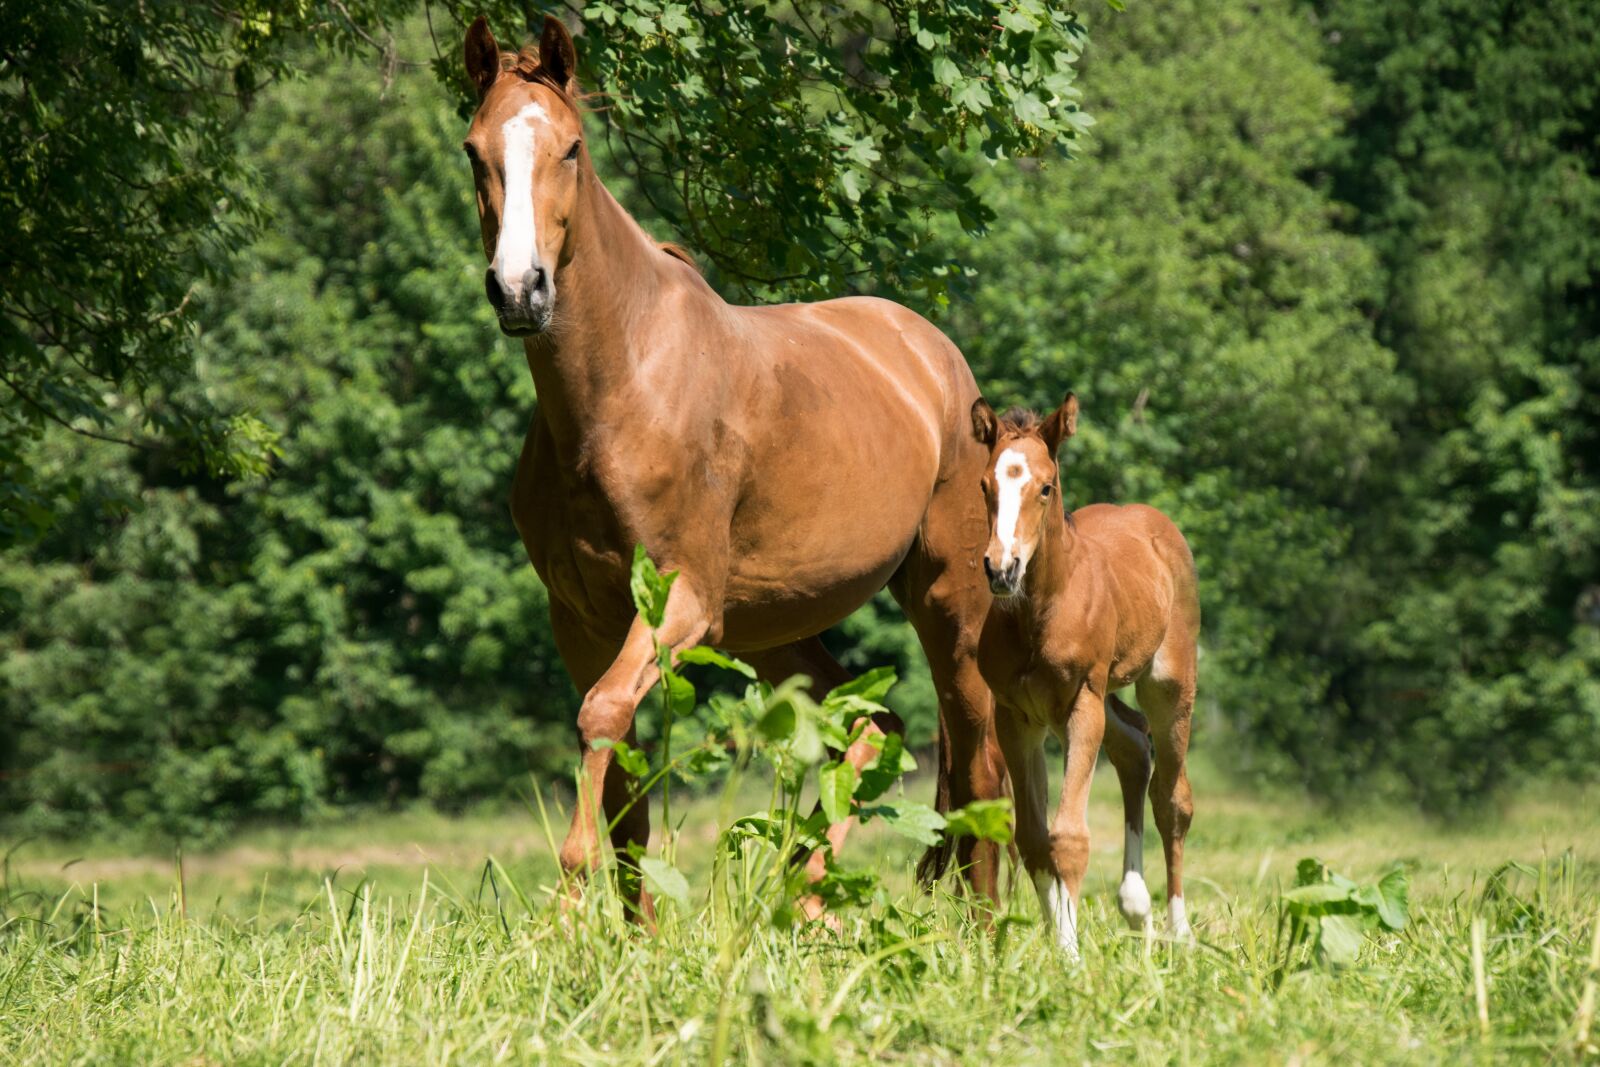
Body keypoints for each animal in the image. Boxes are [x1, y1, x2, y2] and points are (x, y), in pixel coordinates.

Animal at [459, 15, 1002, 922]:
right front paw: (630, 933)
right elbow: (623, 780)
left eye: (570, 147)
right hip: (775, 626)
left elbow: (601, 715)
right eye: (475, 150)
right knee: (873, 727)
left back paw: (980, 918)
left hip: (945, 598)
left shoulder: (682, 600)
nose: (520, 289)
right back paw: (808, 896)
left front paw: (569, 900)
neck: (621, 386)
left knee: (977, 747)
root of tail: (935, 358)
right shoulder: (583, 617)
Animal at [970, 393, 1198, 958]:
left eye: (1045, 487)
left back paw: (1179, 930)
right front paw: (1058, 940)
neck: (1040, 613)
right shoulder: (1017, 716)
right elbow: (1033, 839)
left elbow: (1069, 837)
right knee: (1133, 745)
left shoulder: (1080, 702)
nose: (1001, 568)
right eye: (985, 485)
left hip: (1166, 687)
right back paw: (1136, 908)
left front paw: (1071, 959)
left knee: (1172, 797)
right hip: (1096, 700)